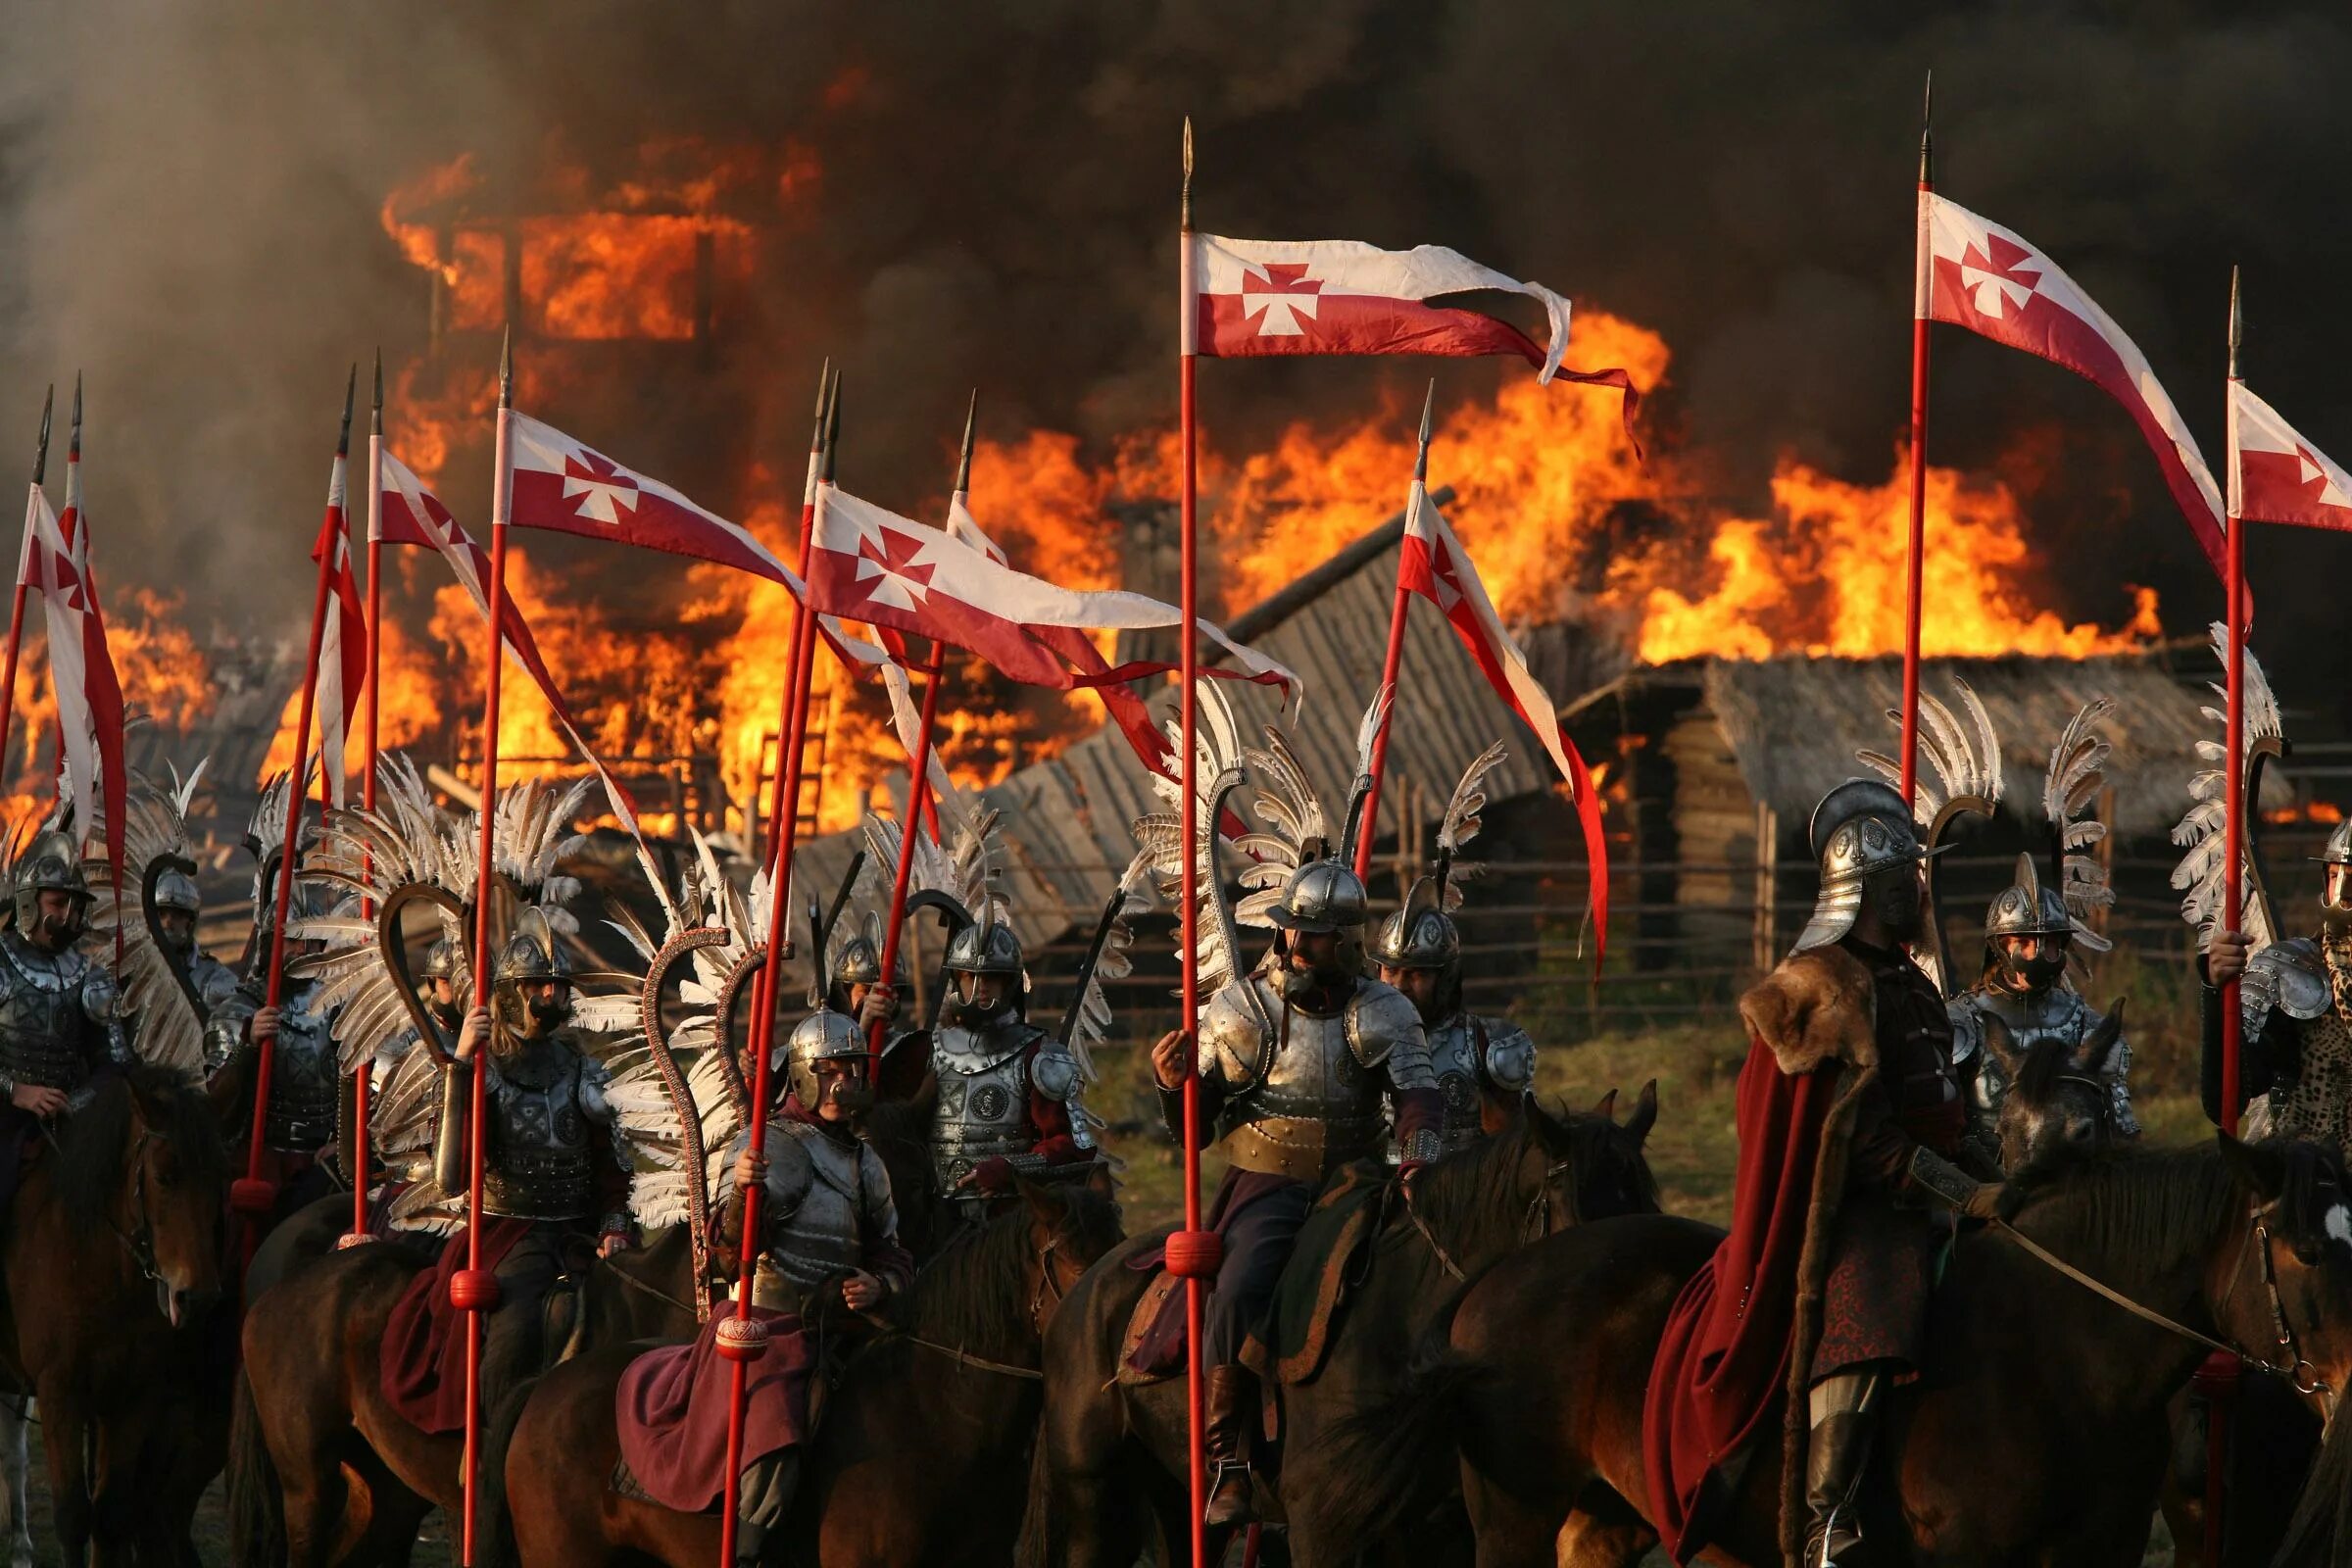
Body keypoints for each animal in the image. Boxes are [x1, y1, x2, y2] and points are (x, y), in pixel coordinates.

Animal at [0, 1067, 229, 1568]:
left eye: (223, 1180)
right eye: (164, 1178)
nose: (198, 1298)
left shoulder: (132, 1395)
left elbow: (111, 1516)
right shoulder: (60, 1391)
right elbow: (72, 1516)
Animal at [1317, 1133, 2352, 1560]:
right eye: (2305, 1250)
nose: (2346, 1390)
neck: (2066, 1357)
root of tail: (1485, 1288)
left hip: (1604, 1517)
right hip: (1514, 1518)